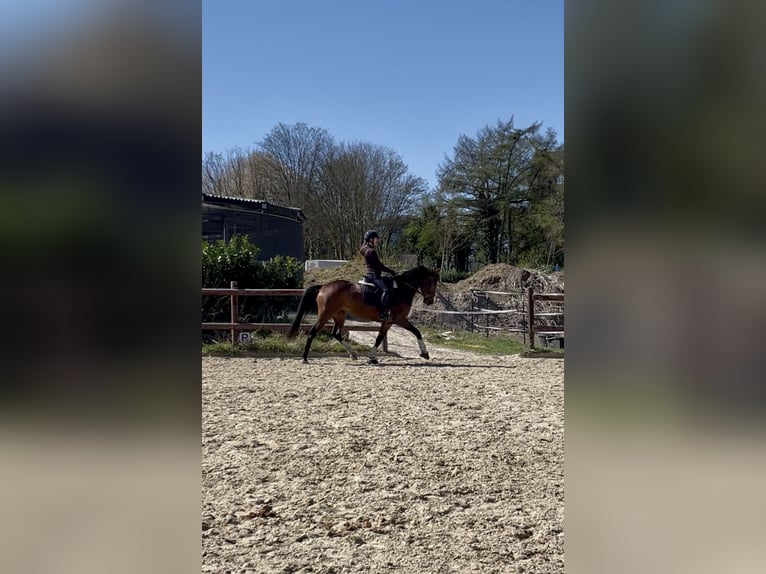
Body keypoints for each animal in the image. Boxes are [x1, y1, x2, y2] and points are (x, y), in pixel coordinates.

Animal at [286, 265, 439, 364]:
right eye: (433, 282)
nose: (430, 301)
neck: (402, 289)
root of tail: (323, 286)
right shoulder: (398, 319)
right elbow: (416, 331)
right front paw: (425, 353)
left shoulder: (388, 321)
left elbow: (379, 338)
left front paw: (372, 357)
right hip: (325, 315)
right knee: (313, 332)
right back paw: (304, 358)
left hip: (339, 315)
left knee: (336, 334)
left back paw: (353, 354)